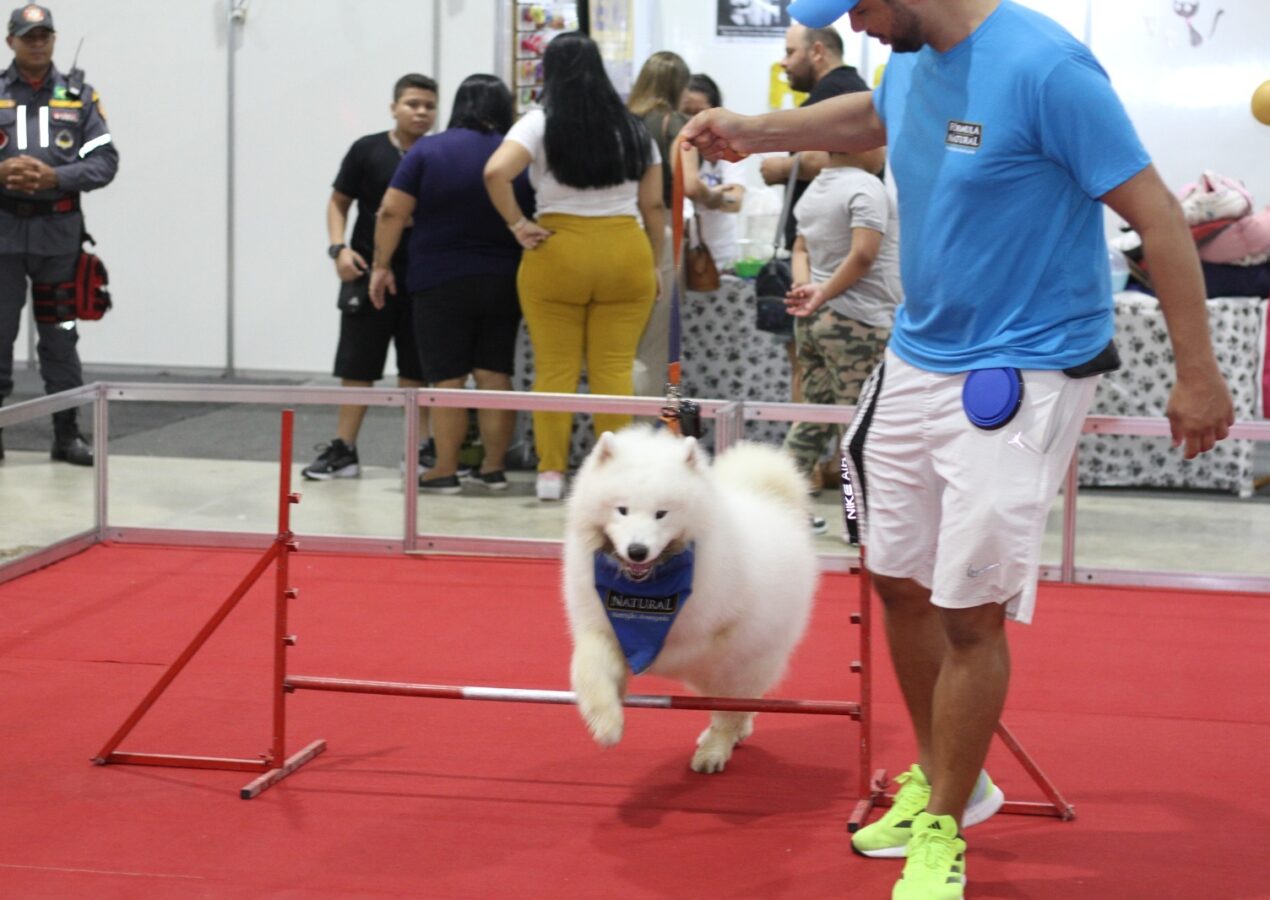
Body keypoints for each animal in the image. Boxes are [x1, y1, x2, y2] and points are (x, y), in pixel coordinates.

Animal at [561, 423, 817, 766]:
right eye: (622, 510)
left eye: (661, 514)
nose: (637, 550)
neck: (645, 587)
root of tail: (773, 501)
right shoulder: (600, 627)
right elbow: (591, 669)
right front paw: (607, 724)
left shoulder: (698, 633)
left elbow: (662, 652)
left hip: (745, 663)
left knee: (730, 709)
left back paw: (713, 752)